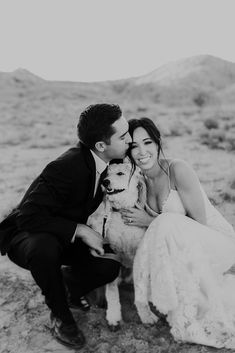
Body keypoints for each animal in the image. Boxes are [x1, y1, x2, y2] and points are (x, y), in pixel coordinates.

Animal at [88, 161, 158, 326]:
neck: (121, 212)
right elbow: (112, 291)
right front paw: (113, 315)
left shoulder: (140, 254)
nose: (104, 182)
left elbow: (140, 289)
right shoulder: (113, 253)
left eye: (120, 173)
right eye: (107, 174)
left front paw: (146, 314)